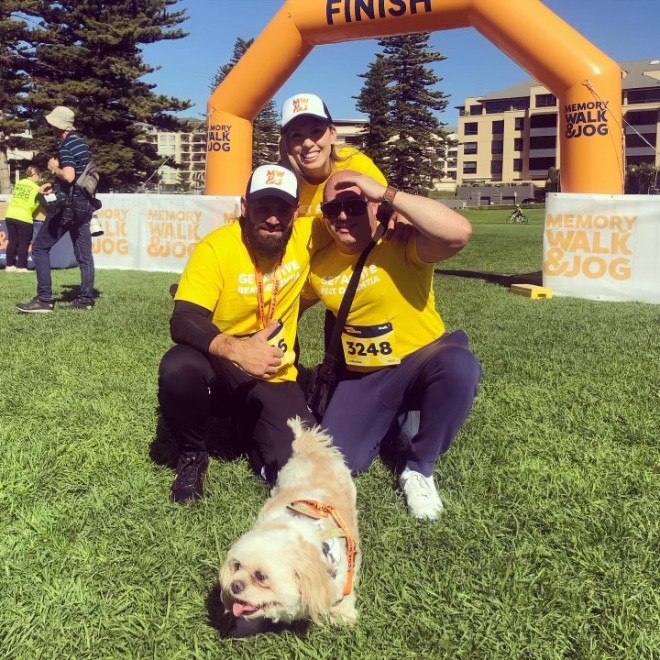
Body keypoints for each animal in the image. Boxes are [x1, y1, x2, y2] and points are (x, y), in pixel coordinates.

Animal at [219, 416, 360, 627]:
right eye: (236, 566)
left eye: (261, 576)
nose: (235, 585)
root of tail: (309, 450)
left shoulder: (344, 574)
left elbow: (345, 599)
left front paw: (344, 616)